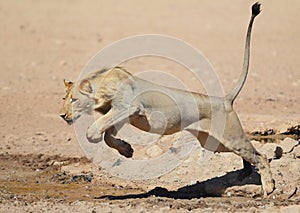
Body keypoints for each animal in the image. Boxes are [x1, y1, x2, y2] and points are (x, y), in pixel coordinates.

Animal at [60, 2, 274, 197]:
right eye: (64, 98)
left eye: (74, 100)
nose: (62, 115)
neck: (102, 88)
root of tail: (225, 100)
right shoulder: (120, 114)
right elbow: (108, 136)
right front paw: (127, 150)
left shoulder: (129, 107)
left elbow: (94, 131)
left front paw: (97, 137)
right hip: (215, 141)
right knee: (250, 155)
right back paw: (246, 173)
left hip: (230, 137)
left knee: (261, 156)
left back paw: (268, 188)